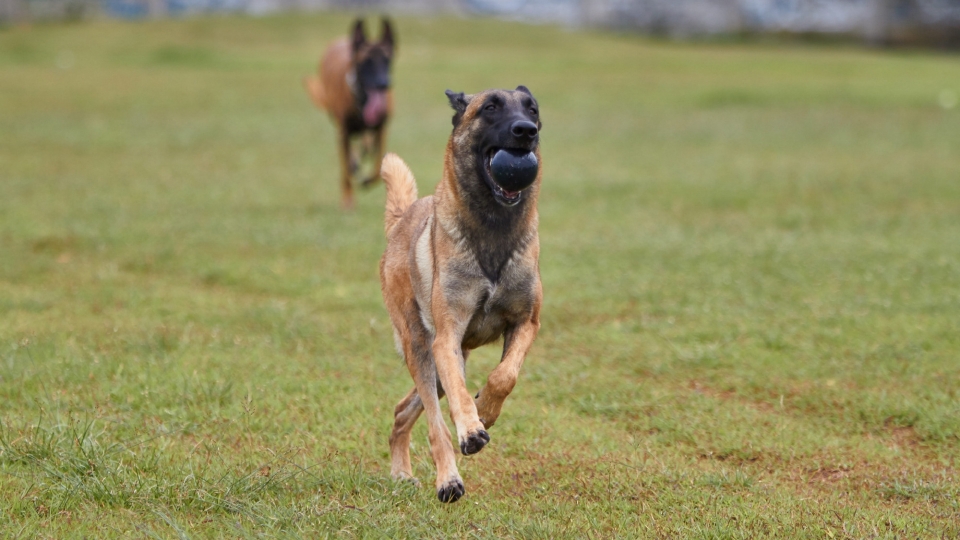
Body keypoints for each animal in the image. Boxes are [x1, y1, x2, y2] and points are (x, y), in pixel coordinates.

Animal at [308, 19, 398, 209]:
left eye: (387, 59)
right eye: (367, 61)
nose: (383, 83)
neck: (362, 100)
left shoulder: (382, 128)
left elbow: (377, 164)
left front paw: (367, 179)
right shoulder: (343, 132)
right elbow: (345, 171)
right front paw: (348, 200)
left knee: (366, 144)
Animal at [376, 85, 544, 502]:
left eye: (532, 109)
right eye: (490, 107)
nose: (526, 130)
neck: (494, 227)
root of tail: (401, 221)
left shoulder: (526, 322)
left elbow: (505, 376)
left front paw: (487, 409)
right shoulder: (446, 338)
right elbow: (458, 401)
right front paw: (471, 427)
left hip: (439, 366)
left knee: (402, 411)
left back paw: (402, 472)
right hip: (422, 350)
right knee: (436, 424)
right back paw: (447, 480)